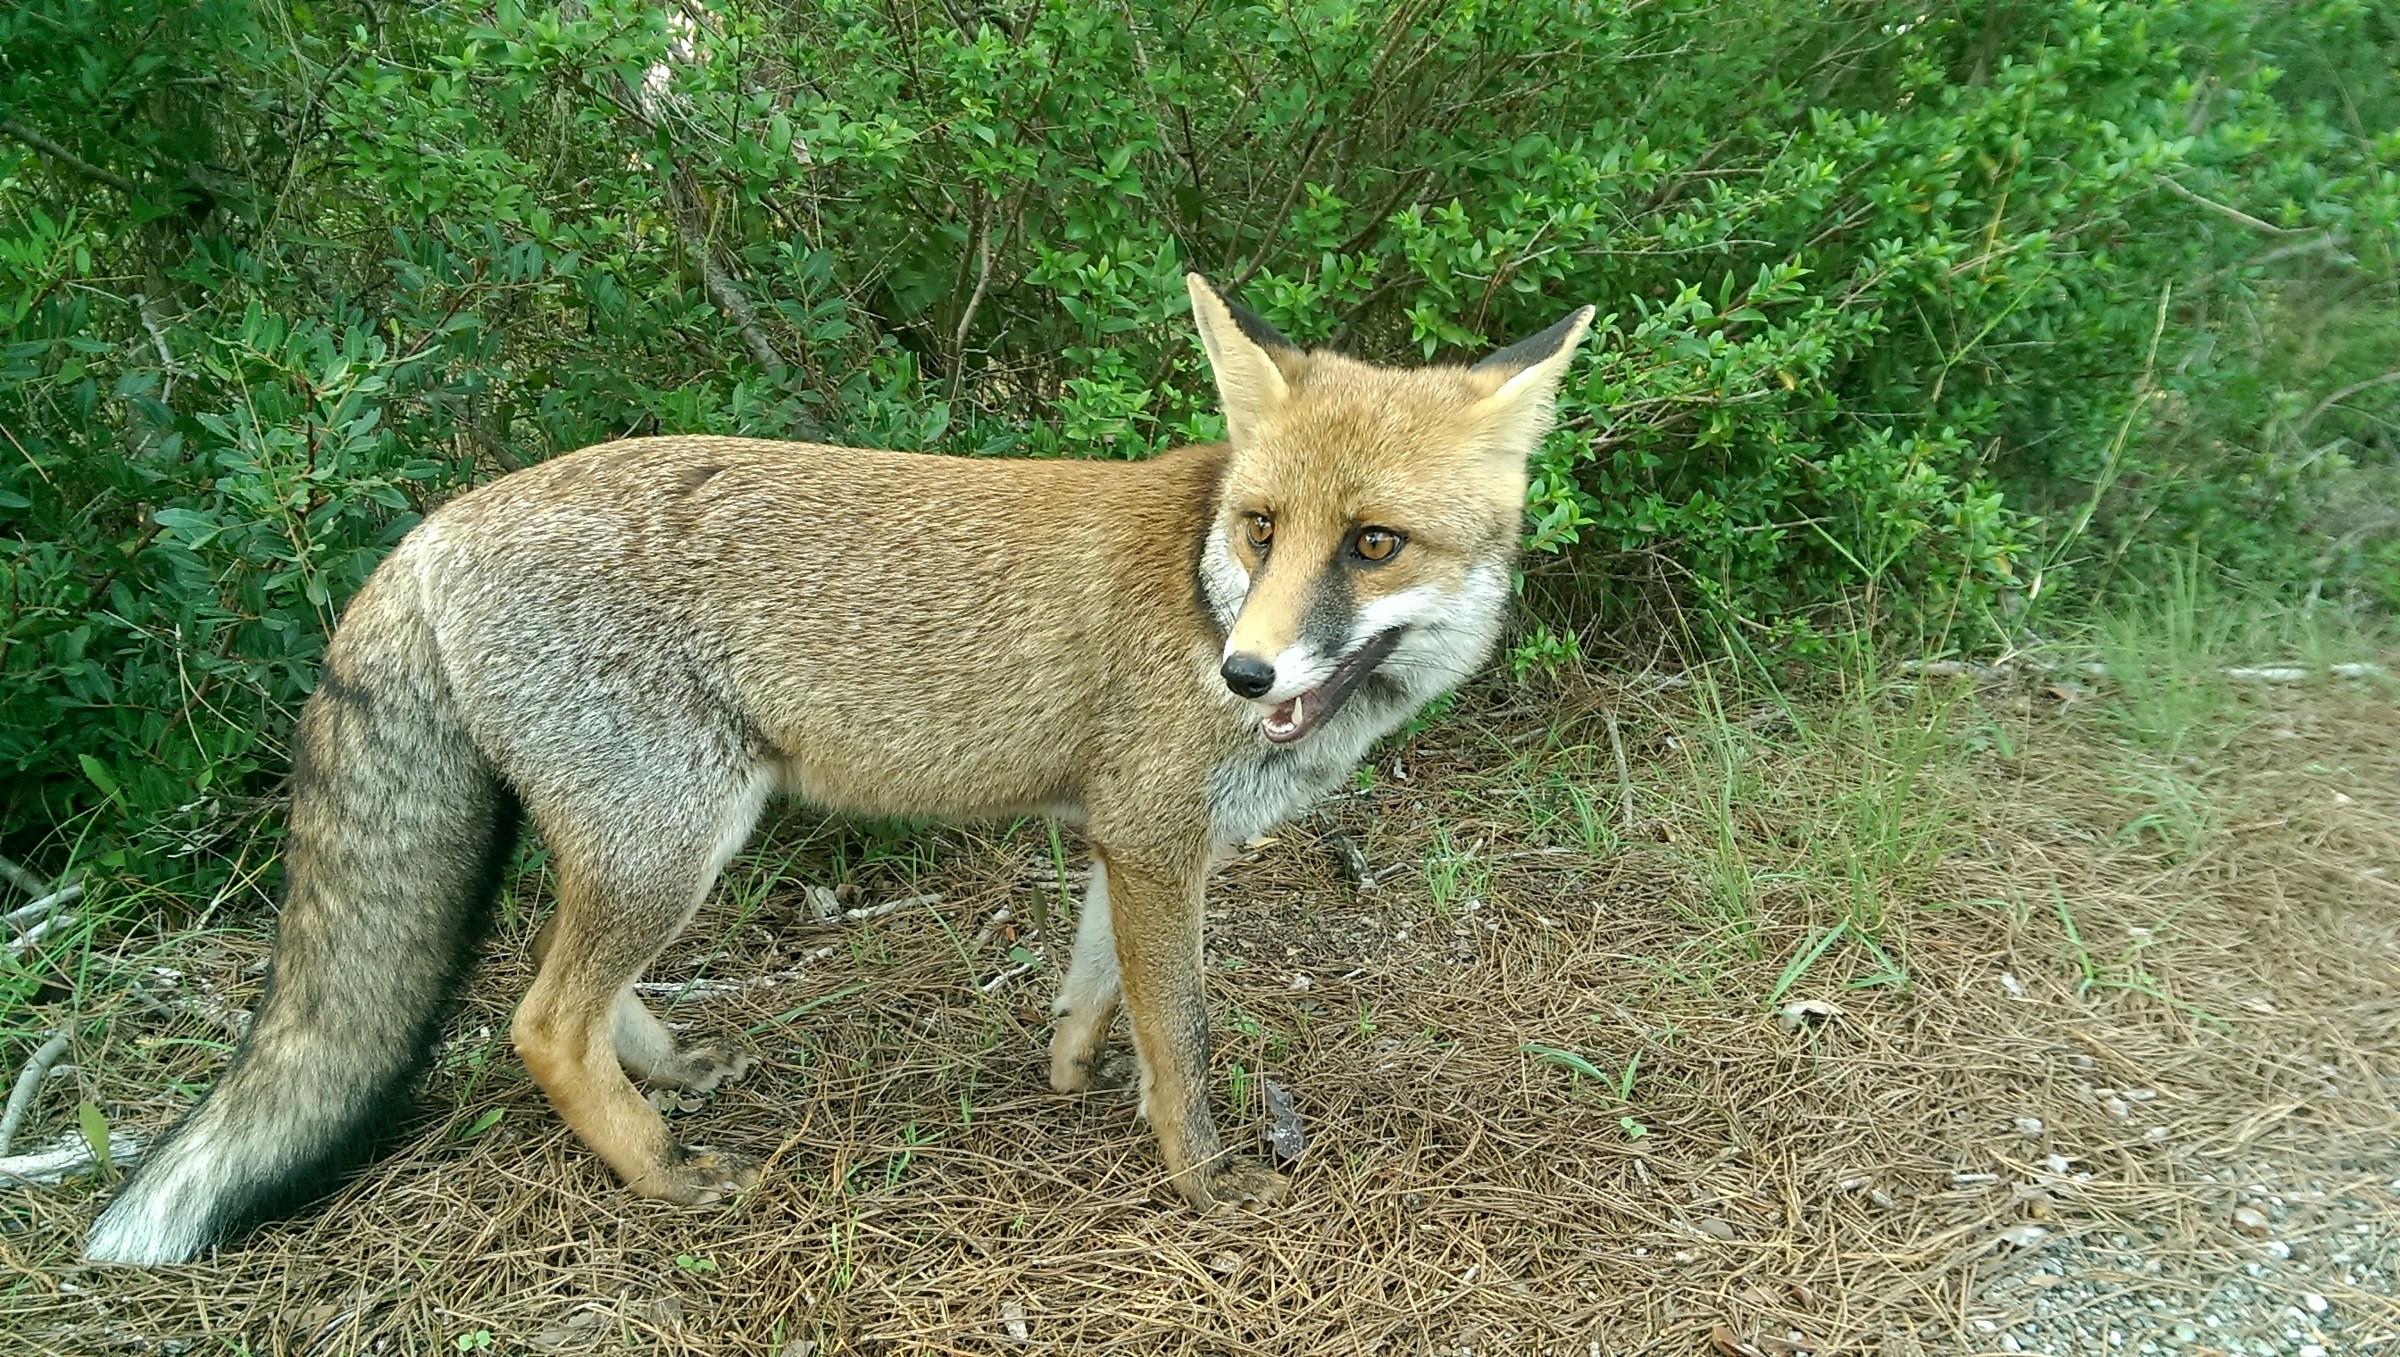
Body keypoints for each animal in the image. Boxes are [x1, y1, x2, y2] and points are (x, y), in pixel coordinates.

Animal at [83, 273, 1592, 1264]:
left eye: (1375, 544)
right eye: (1265, 528)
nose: (1247, 675)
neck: (1195, 577)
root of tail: (434, 524)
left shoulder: (1126, 836)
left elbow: (1095, 984)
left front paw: (1066, 1074)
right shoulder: (1162, 838)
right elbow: (1184, 1038)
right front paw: (1203, 1181)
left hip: (663, 840)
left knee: (579, 992)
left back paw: (667, 1075)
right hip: (677, 839)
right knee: (539, 1021)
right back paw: (664, 1173)